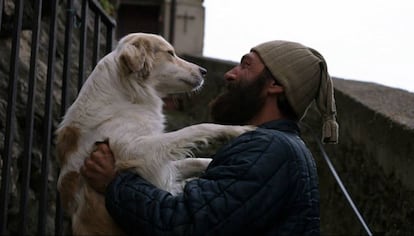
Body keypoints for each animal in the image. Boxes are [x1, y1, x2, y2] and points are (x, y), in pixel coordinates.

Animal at [56, 32, 254, 234]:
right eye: (170, 53)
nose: (204, 71)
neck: (126, 97)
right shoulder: (137, 152)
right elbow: (197, 128)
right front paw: (237, 130)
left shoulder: (160, 163)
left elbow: (194, 160)